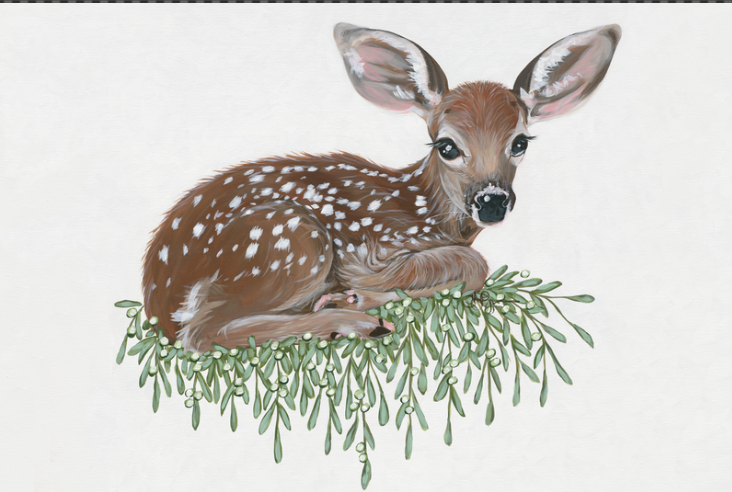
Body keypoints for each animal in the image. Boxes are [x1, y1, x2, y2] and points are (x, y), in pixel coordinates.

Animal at [142, 23, 621, 352]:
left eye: (520, 142)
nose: (492, 202)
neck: (429, 210)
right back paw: (352, 322)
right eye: (446, 145)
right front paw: (361, 295)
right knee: (200, 333)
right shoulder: (370, 247)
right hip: (290, 240)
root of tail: (156, 297)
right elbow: (471, 265)